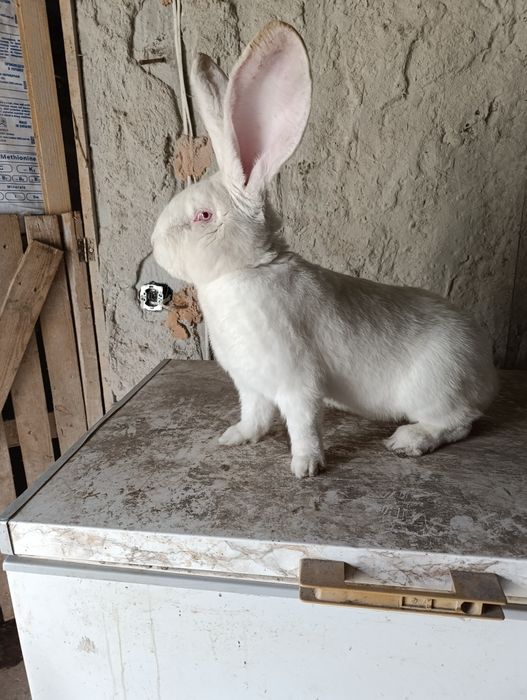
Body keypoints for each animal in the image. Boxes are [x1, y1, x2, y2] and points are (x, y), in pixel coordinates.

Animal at [151, 20, 498, 478]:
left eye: (203, 216)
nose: (154, 244)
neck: (248, 270)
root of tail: (486, 371)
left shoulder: (297, 381)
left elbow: (303, 425)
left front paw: (305, 467)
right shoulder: (251, 385)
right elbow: (254, 415)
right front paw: (235, 437)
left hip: (436, 388)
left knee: (460, 421)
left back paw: (409, 441)